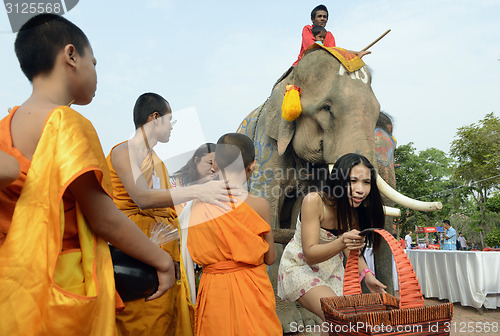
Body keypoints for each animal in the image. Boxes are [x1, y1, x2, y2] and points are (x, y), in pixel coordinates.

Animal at [236, 46, 440, 332]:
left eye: (376, 113)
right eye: (326, 109)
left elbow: (301, 218)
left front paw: (308, 320)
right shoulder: (267, 145)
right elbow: (269, 215)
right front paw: (289, 324)